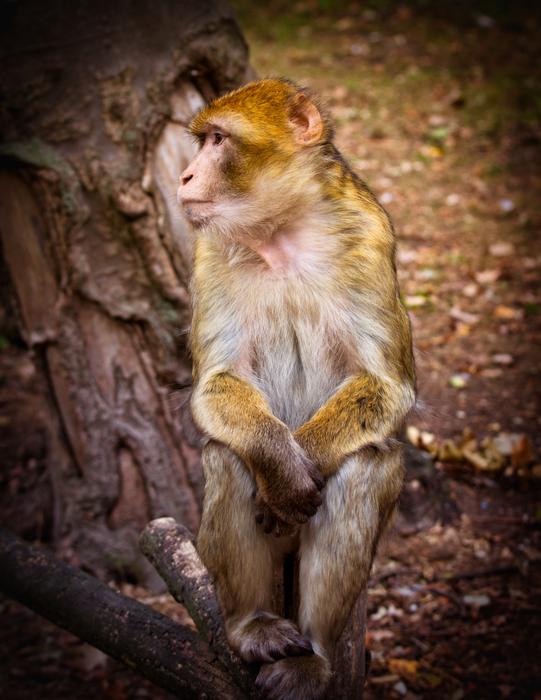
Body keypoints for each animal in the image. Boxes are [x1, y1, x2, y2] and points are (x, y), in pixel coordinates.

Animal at [177, 78, 415, 700]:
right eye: (201, 141)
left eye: (218, 140)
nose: (184, 175)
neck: (280, 234)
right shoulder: (206, 254)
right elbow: (216, 385)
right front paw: (281, 467)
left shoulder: (369, 236)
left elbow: (387, 387)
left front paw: (298, 463)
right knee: (227, 456)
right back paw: (253, 628)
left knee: (364, 469)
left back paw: (316, 656)